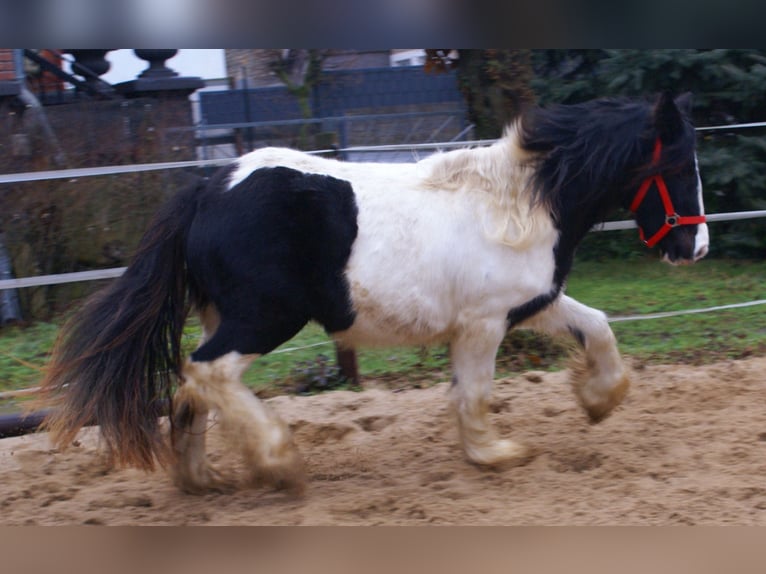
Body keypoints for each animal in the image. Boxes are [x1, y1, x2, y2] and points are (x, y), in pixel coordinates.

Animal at [39, 91, 712, 496]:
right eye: (680, 166)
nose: (695, 248)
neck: (518, 205)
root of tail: (208, 189)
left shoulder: (530, 305)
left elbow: (597, 327)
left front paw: (598, 402)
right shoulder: (483, 323)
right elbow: (474, 395)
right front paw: (496, 455)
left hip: (221, 316)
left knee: (191, 391)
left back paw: (203, 478)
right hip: (264, 319)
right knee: (206, 372)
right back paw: (279, 461)